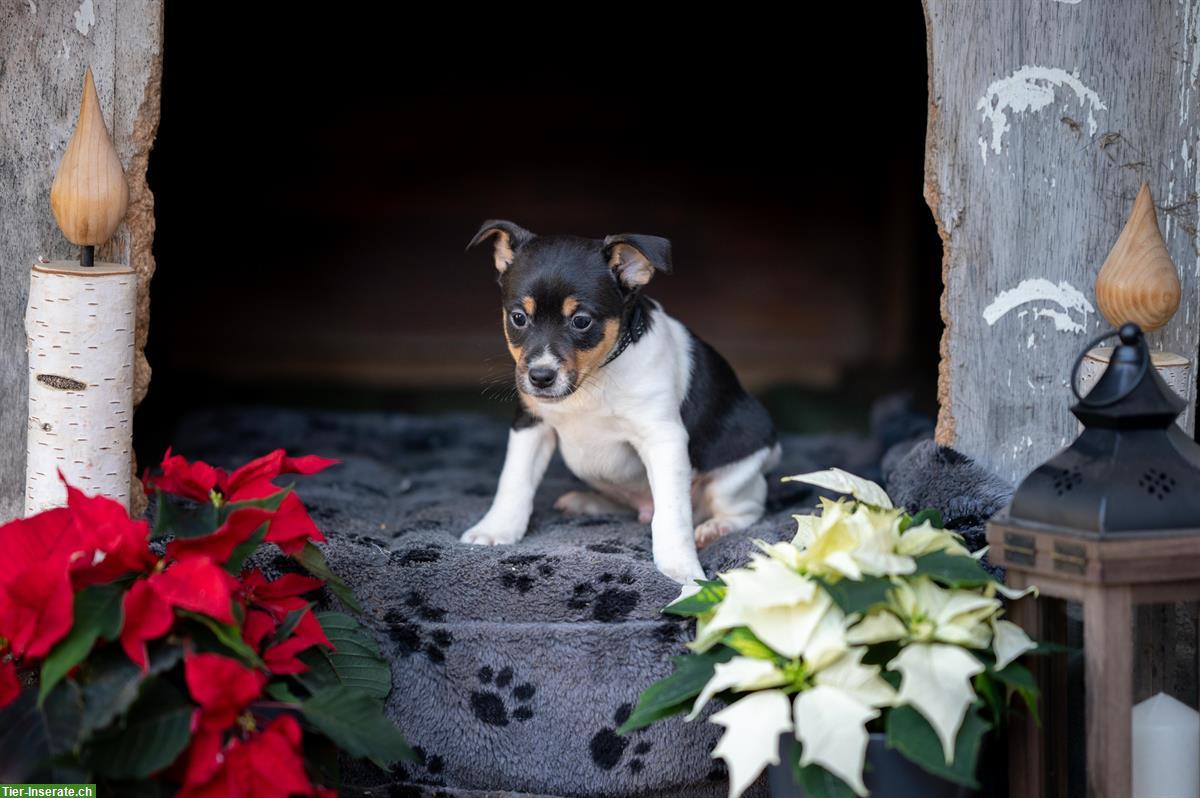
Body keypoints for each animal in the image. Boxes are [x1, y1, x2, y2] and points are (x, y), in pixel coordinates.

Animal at [458, 220, 777, 583]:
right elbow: (514, 481)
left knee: (747, 508)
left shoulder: (663, 439)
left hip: (734, 478)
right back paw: (587, 502)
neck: (593, 379)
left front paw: (680, 570)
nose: (540, 376)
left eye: (581, 321)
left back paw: (715, 528)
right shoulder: (531, 425)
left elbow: (672, 515)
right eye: (518, 318)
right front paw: (496, 528)